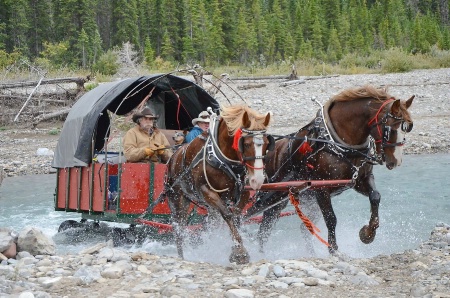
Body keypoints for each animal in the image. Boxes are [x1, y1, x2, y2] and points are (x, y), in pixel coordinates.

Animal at [164, 104, 272, 264]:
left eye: (267, 144)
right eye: (246, 144)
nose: (257, 179)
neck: (221, 157)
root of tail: (173, 157)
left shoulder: (243, 192)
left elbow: (236, 216)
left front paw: (233, 246)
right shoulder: (206, 191)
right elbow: (227, 215)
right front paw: (239, 252)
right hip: (176, 198)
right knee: (179, 227)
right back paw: (181, 257)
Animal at [250, 85, 414, 254]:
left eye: (408, 128)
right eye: (390, 129)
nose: (396, 161)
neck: (340, 142)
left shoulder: (361, 179)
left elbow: (375, 196)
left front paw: (368, 234)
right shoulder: (321, 188)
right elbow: (331, 218)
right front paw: (333, 249)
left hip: (308, 200)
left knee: (304, 228)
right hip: (275, 199)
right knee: (263, 230)